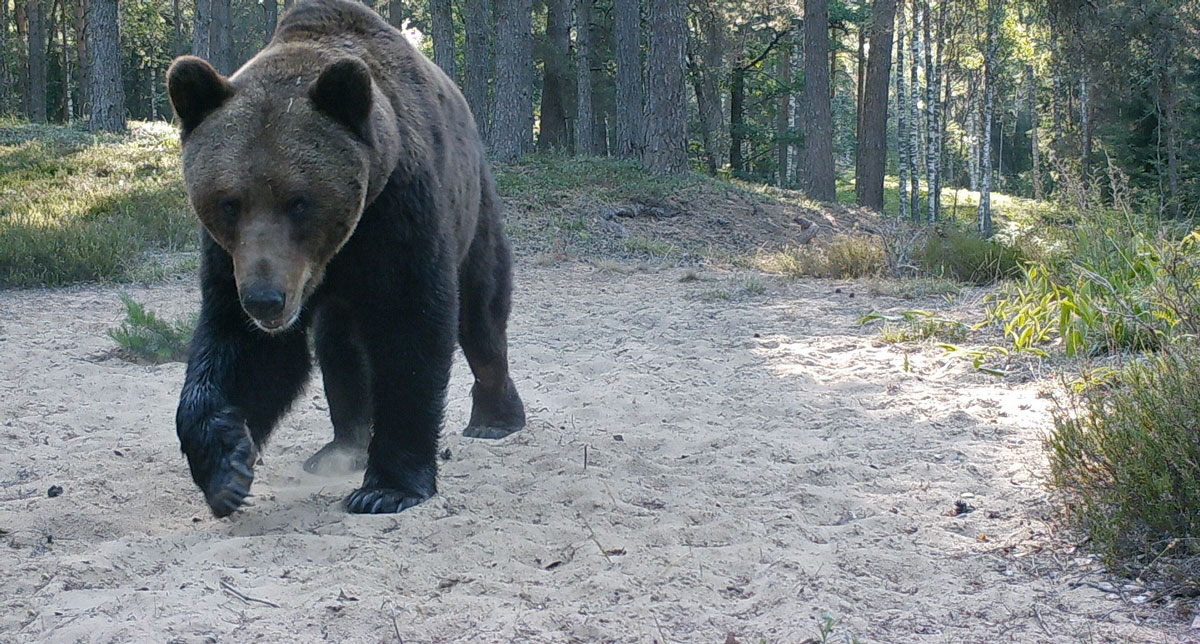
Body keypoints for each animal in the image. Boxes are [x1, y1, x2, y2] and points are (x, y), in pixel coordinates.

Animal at [166, 0, 525, 517]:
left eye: (299, 201)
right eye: (229, 202)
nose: (265, 300)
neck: (337, 250)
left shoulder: (398, 214)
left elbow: (411, 332)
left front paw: (387, 487)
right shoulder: (233, 259)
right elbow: (240, 348)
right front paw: (227, 467)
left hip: (473, 208)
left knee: (482, 315)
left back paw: (496, 417)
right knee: (340, 349)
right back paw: (342, 447)